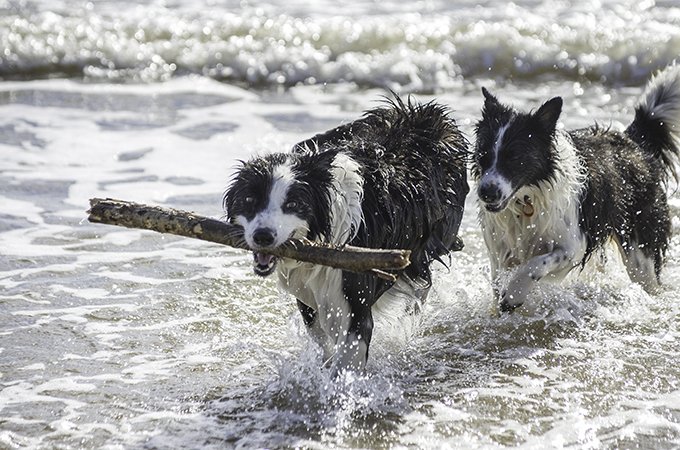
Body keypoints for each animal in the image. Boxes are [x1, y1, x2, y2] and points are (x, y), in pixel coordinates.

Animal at [223, 98, 468, 376]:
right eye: (250, 201)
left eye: (294, 204)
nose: (263, 236)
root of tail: (427, 111)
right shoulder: (307, 295)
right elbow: (320, 337)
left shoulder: (355, 297)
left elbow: (349, 354)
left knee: (421, 276)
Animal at [472, 65, 680, 312]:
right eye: (483, 155)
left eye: (514, 158)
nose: (486, 193)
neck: (528, 199)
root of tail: (634, 142)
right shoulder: (499, 252)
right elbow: (499, 282)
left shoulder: (573, 246)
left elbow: (535, 264)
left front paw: (515, 294)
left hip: (641, 251)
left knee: (647, 279)